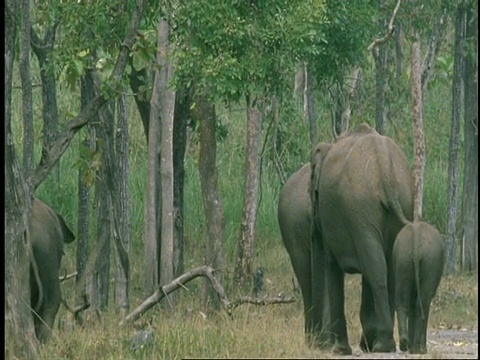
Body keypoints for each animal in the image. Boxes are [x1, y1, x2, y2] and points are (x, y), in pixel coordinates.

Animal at [310, 124, 414, 354]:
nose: (318, 344)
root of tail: (383, 167)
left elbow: (332, 267)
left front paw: (340, 350)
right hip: (398, 201)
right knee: (385, 266)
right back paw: (383, 344)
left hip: (359, 207)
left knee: (376, 269)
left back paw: (383, 346)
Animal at [394, 221, 446, 352]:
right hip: (431, 260)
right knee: (423, 302)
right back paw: (419, 350)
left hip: (403, 258)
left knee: (402, 301)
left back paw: (405, 344)